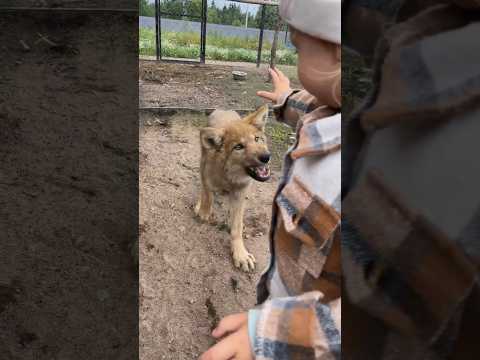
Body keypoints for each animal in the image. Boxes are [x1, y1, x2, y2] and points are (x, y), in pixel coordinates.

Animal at [194, 105, 270, 272]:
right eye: (238, 147)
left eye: (257, 139)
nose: (266, 157)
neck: (229, 175)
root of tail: (224, 109)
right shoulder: (206, 175)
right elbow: (207, 195)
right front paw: (203, 212)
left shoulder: (240, 192)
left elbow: (237, 226)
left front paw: (241, 254)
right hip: (202, 157)